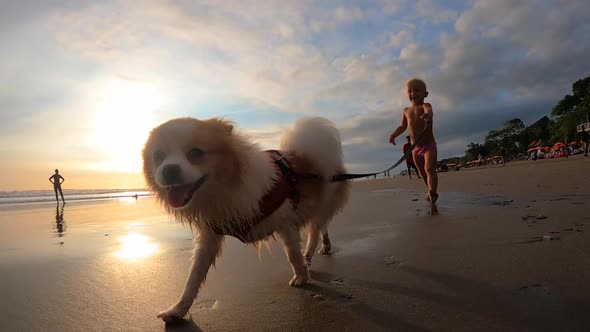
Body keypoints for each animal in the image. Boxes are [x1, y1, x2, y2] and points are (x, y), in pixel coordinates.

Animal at [143, 116, 352, 322]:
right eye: (158, 155)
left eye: (196, 153)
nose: (169, 170)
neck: (223, 189)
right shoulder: (210, 234)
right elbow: (194, 277)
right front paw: (177, 310)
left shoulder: (286, 221)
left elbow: (292, 254)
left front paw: (301, 276)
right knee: (321, 227)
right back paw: (320, 249)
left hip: (321, 205)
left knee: (316, 230)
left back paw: (311, 254)